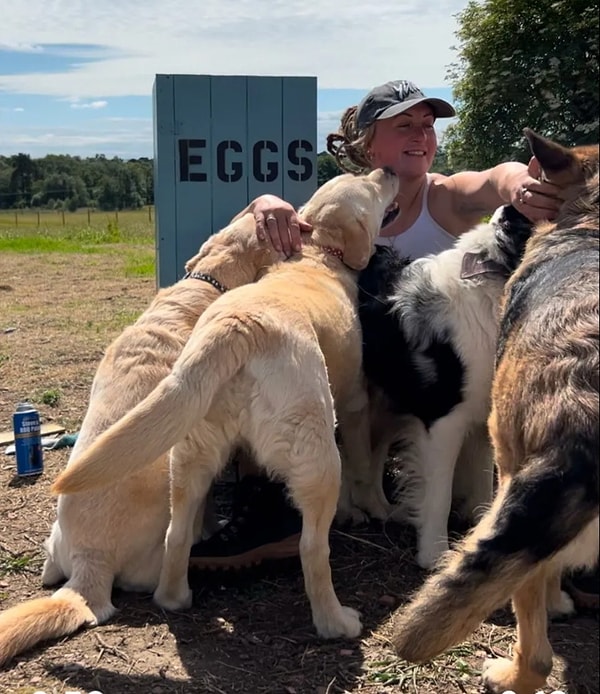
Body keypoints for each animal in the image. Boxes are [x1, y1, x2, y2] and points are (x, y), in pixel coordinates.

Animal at [0, 216, 282, 668]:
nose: (267, 210)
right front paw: (214, 528)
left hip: (54, 539)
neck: (203, 287)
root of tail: (91, 565)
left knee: (49, 570)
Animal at [51, 169, 398, 640]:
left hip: (189, 459)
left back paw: (177, 596)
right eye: (370, 185)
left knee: (177, 536)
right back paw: (336, 621)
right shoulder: (353, 401)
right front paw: (372, 510)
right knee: (312, 548)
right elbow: (363, 466)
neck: (316, 256)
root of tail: (241, 327)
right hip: (318, 454)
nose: (390, 171)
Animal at [354, 208, 532, 572]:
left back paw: (380, 507)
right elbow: (440, 491)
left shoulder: (480, 414)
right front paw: (433, 554)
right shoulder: (443, 420)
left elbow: (483, 480)